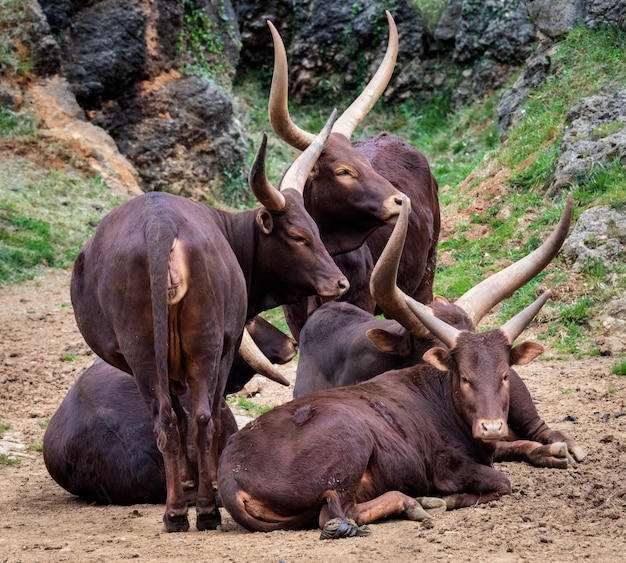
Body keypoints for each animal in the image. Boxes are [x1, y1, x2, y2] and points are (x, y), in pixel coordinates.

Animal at [70, 111, 348, 532]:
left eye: (316, 232)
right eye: (300, 236)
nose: (340, 283)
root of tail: (159, 226)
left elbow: (181, 417)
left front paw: (186, 485)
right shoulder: (227, 347)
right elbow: (210, 413)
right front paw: (207, 487)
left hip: (144, 354)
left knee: (169, 420)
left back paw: (176, 512)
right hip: (206, 345)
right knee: (204, 417)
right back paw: (204, 510)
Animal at [270, 12, 442, 340]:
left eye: (367, 163)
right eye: (343, 171)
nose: (401, 202)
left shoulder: (360, 300)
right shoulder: (294, 319)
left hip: (426, 271)